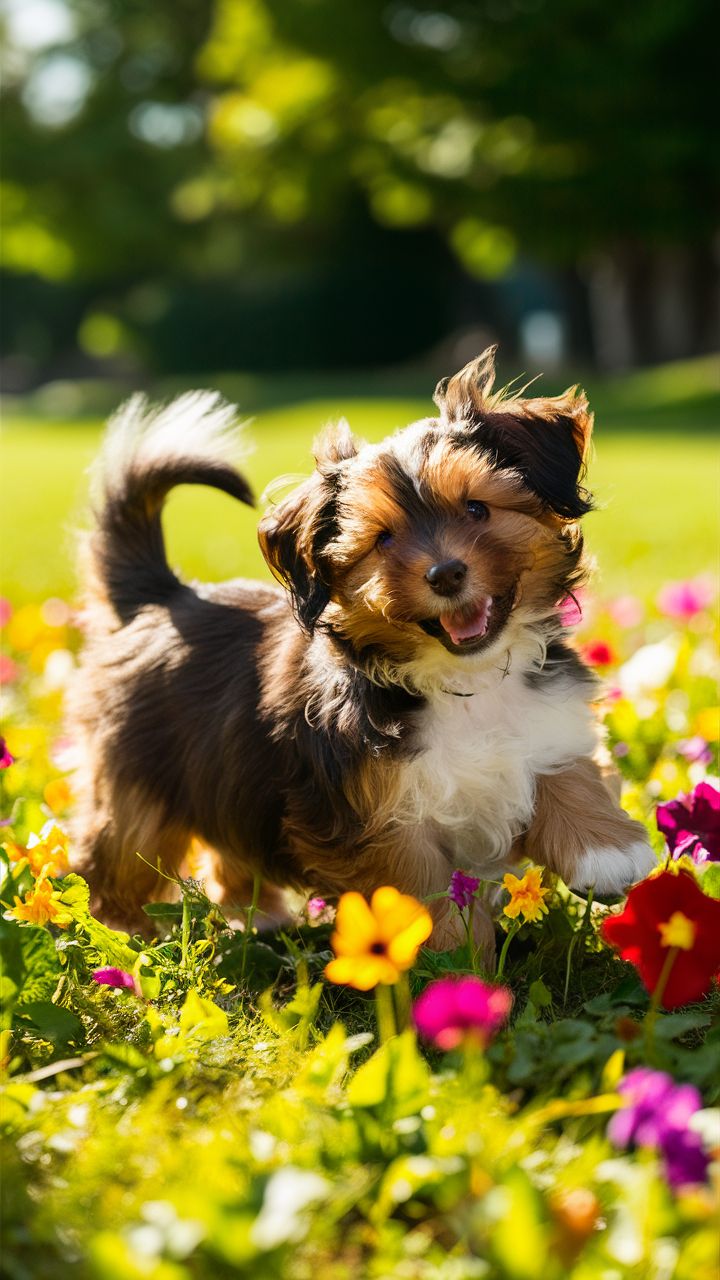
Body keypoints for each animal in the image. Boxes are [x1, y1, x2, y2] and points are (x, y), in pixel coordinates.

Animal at [70, 345, 653, 957]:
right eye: (384, 540)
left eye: (477, 509)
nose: (446, 574)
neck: (464, 682)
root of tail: (160, 597)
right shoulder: (371, 816)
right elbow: (418, 884)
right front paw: (450, 956)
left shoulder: (546, 719)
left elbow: (567, 770)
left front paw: (607, 851)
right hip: (137, 783)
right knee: (120, 854)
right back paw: (124, 934)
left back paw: (256, 919)